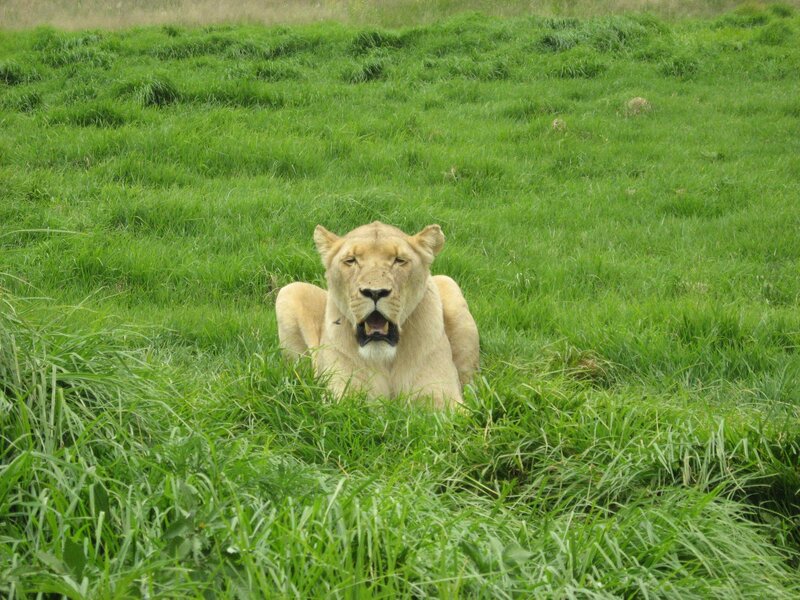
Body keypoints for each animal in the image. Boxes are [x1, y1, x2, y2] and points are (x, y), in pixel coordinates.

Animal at [275, 221, 479, 407]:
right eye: (351, 260)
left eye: (399, 260)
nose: (375, 292)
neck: (384, 359)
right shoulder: (341, 395)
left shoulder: (443, 395)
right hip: (289, 291)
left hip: (449, 284)